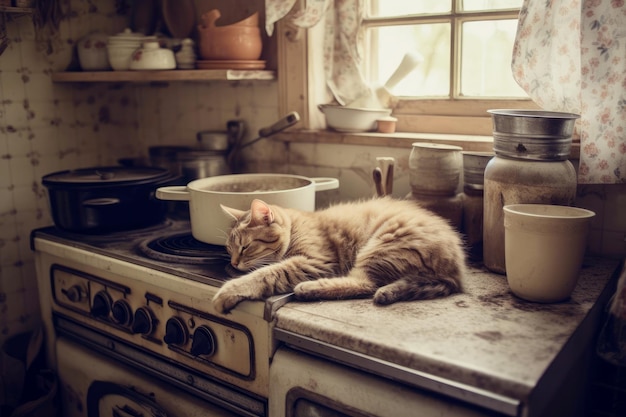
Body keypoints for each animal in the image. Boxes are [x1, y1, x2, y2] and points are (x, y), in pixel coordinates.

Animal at [210, 197, 464, 314]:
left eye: (244, 247)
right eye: (229, 249)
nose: (234, 262)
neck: (295, 227)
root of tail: (455, 270)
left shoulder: (313, 262)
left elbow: (264, 274)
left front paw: (229, 290)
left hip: (381, 245)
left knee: (365, 284)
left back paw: (309, 288)